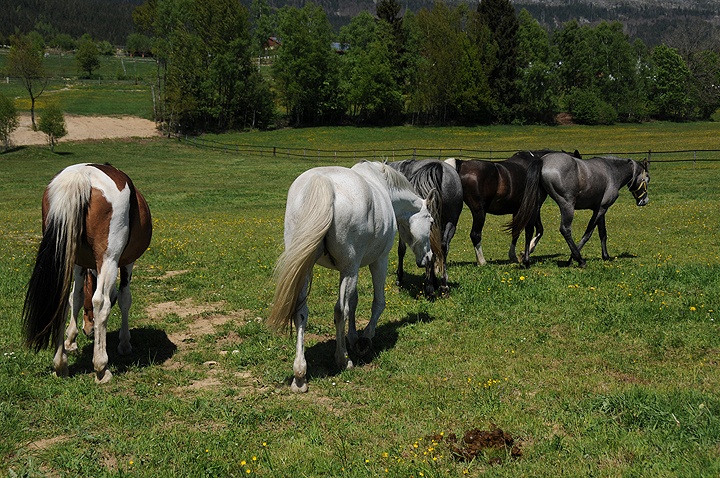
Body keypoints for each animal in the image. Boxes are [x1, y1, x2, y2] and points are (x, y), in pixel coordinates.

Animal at [22, 162, 152, 382]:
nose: (89, 330)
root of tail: (81, 175)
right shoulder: (127, 263)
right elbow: (124, 299)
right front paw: (124, 343)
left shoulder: (77, 264)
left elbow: (75, 296)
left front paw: (70, 340)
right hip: (108, 259)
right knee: (101, 302)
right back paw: (101, 367)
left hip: (64, 256)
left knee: (60, 301)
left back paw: (60, 364)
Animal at [268, 161, 442, 392]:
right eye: (430, 222)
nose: (429, 258)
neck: (384, 187)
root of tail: (322, 183)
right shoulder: (378, 261)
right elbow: (376, 303)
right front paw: (365, 338)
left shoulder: (355, 268)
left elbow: (354, 302)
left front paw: (352, 337)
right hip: (348, 269)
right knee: (339, 311)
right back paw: (343, 359)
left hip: (307, 268)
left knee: (301, 312)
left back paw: (300, 375)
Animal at [388, 159, 462, 296]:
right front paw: (435, 281)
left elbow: (401, 250)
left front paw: (399, 278)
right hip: (451, 223)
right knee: (443, 247)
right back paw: (443, 285)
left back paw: (429, 286)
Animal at [510, 151, 648, 268]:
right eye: (647, 178)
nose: (644, 201)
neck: (611, 171)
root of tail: (542, 161)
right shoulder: (601, 209)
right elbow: (588, 234)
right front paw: (572, 258)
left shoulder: (600, 210)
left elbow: (602, 233)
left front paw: (606, 256)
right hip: (567, 206)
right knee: (565, 230)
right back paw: (580, 260)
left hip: (536, 205)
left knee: (529, 229)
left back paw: (526, 261)